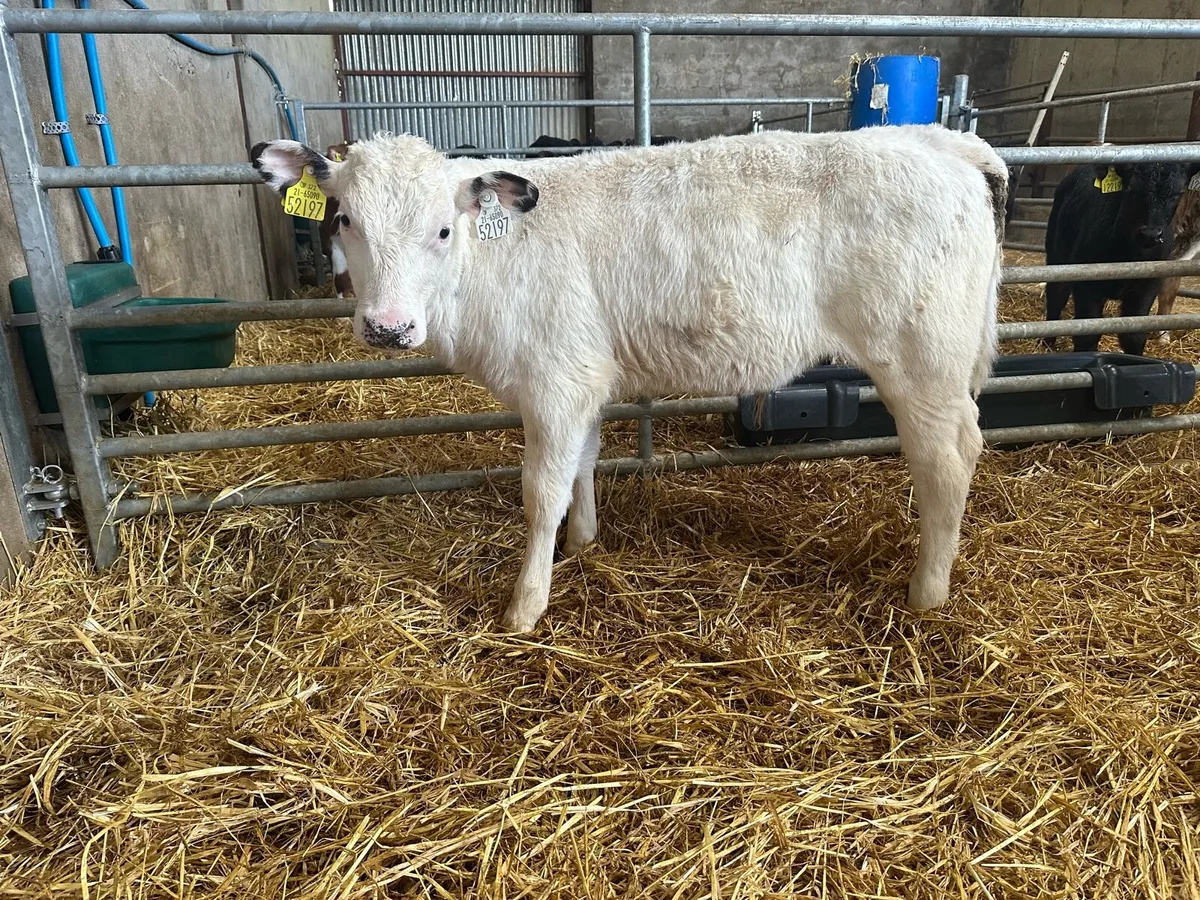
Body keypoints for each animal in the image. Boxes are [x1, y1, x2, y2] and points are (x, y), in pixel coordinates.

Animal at [252, 126, 1007, 633]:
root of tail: (936, 142)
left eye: (442, 230)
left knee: (947, 461)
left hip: (921, 359)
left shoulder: (554, 382)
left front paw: (525, 604)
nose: (387, 326)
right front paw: (583, 542)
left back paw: (926, 592)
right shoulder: (585, 377)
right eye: (345, 220)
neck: (494, 264)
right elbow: (584, 464)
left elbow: (541, 492)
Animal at [1044, 162, 1199, 355]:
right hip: (1057, 256)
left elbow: (1134, 336)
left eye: (1178, 192)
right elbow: (1087, 334)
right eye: (1131, 188)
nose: (1150, 234)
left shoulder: (1147, 286)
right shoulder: (1086, 284)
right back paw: (1047, 342)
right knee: (1056, 295)